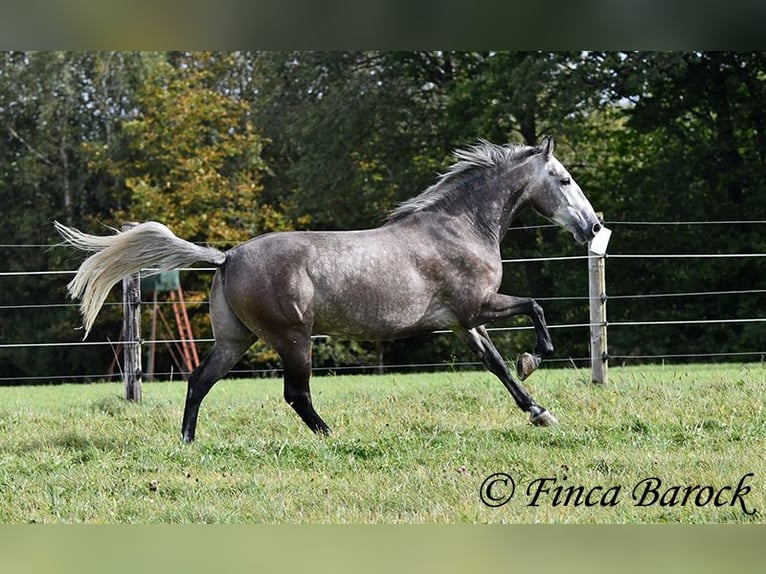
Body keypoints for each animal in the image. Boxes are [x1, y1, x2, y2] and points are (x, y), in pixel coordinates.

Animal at [57, 137, 604, 444]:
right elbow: (535, 309)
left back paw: (188, 442)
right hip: (293, 338)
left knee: (199, 381)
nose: (593, 225)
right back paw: (331, 436)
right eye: (564, 179)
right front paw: (535, 361)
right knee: (295, 394)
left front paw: (540, 413)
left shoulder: (463, 321)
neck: (459, 228)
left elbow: (497, 367)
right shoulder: (478, 306)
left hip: (236, 339)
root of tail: (228, 256)